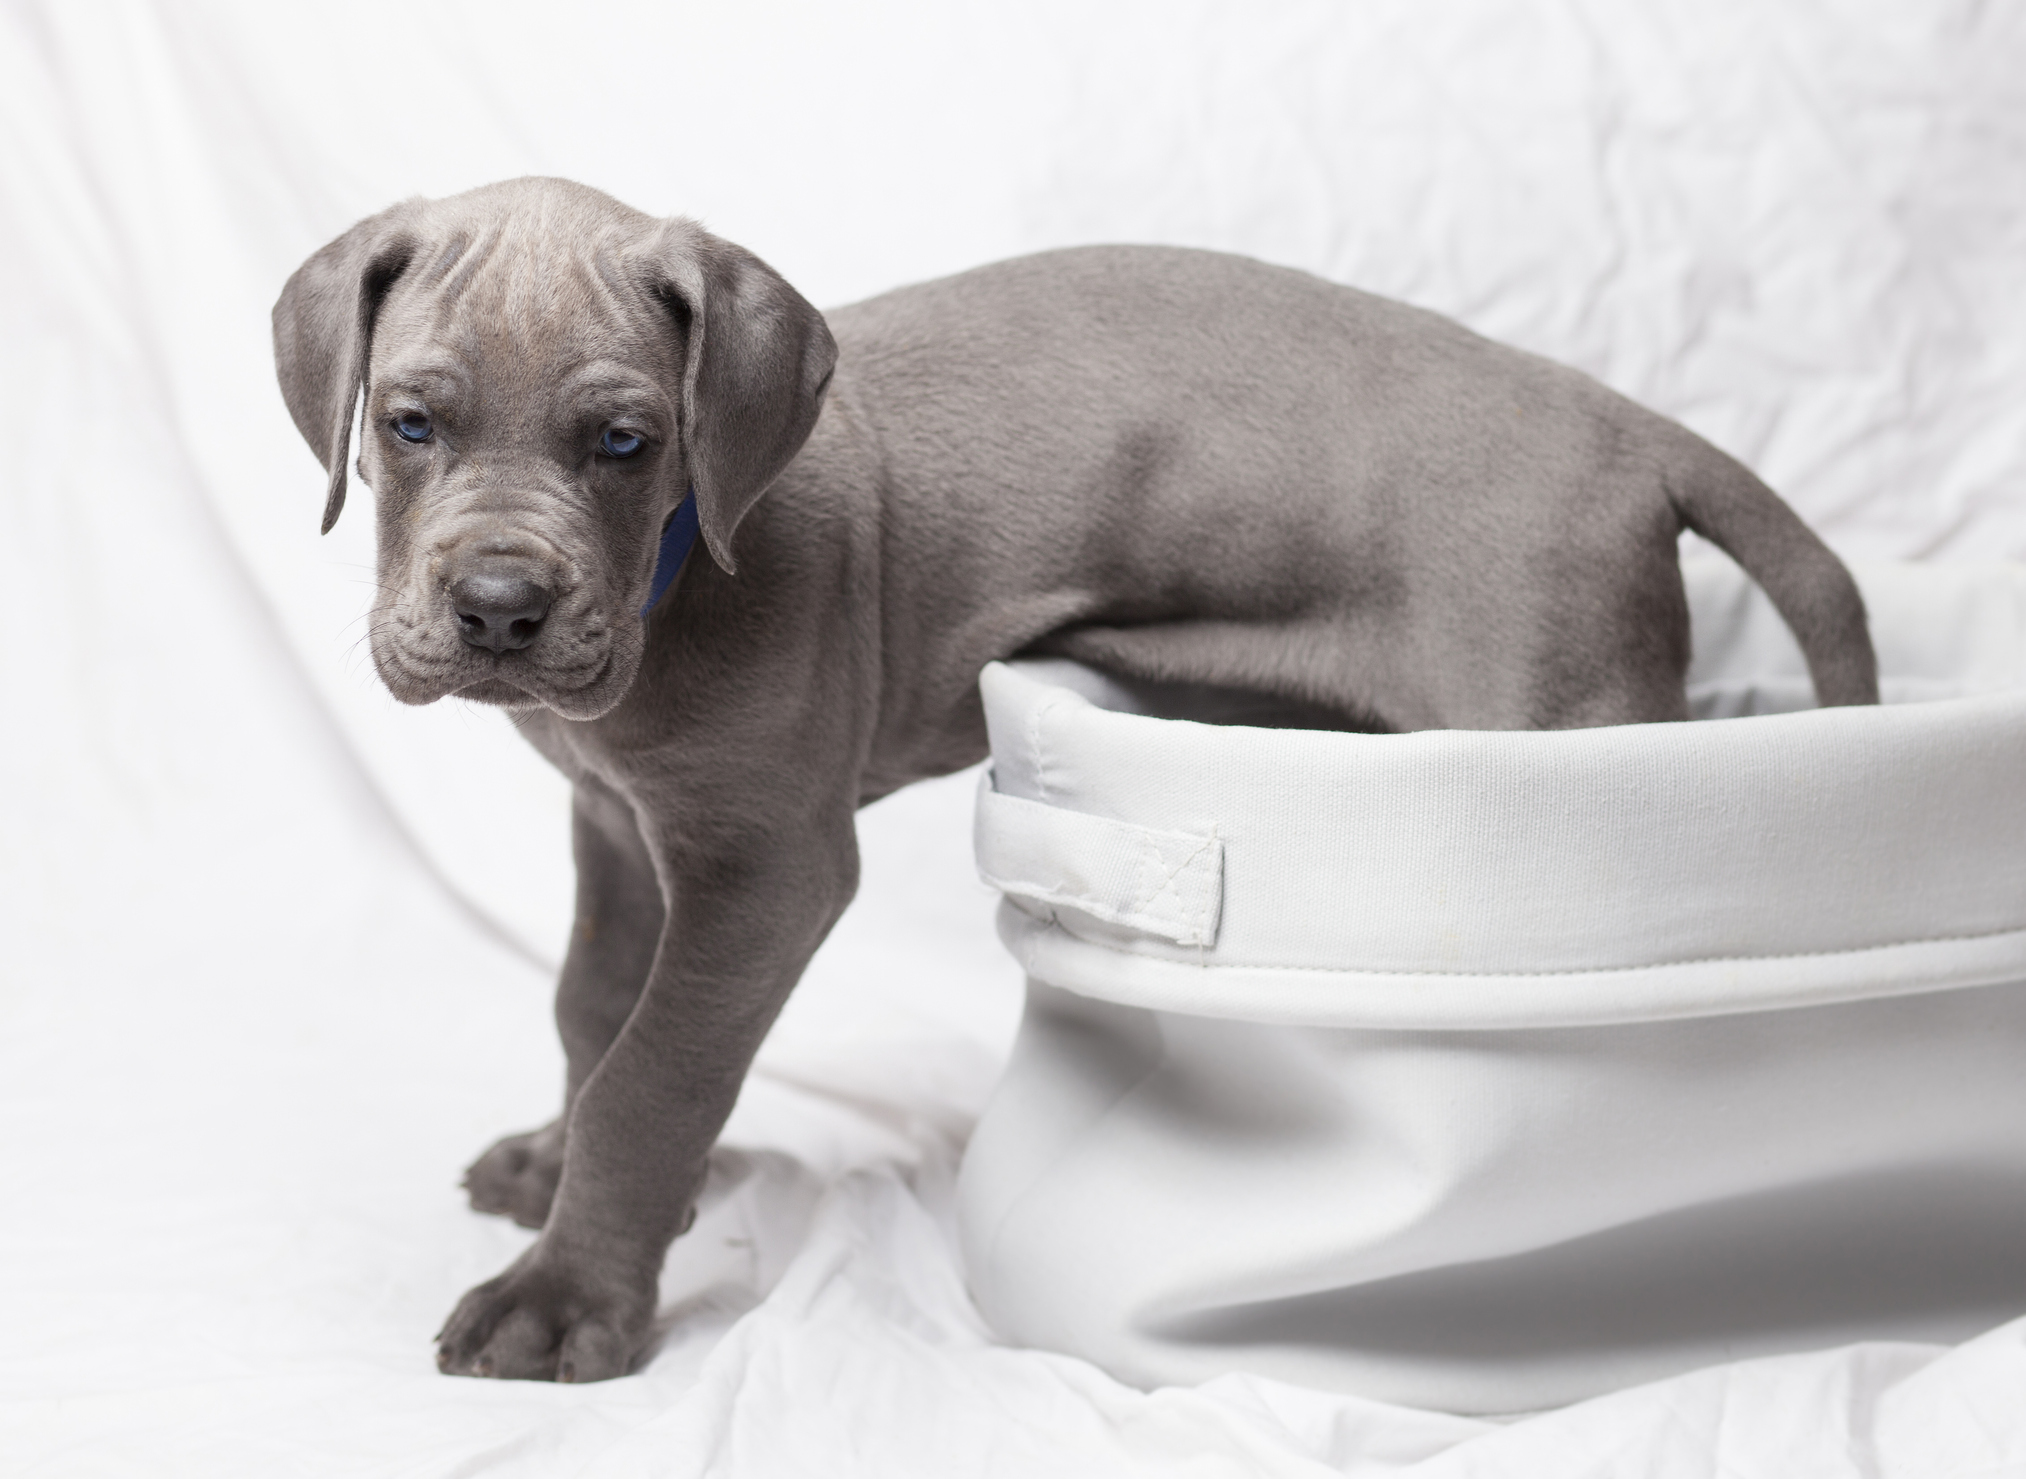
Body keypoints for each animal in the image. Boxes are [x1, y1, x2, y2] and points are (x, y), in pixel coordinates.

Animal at [273, 178, 1880, 1377]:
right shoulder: (616, 823)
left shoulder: (767, 868)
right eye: (410, 425)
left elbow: (655, 1071)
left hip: (1556, 724)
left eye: (623, 441)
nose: (498, 608)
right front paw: (557, 1175)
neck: (680, 572)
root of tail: (1633, 433)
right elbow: (592, 1009)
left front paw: (570, 1295)